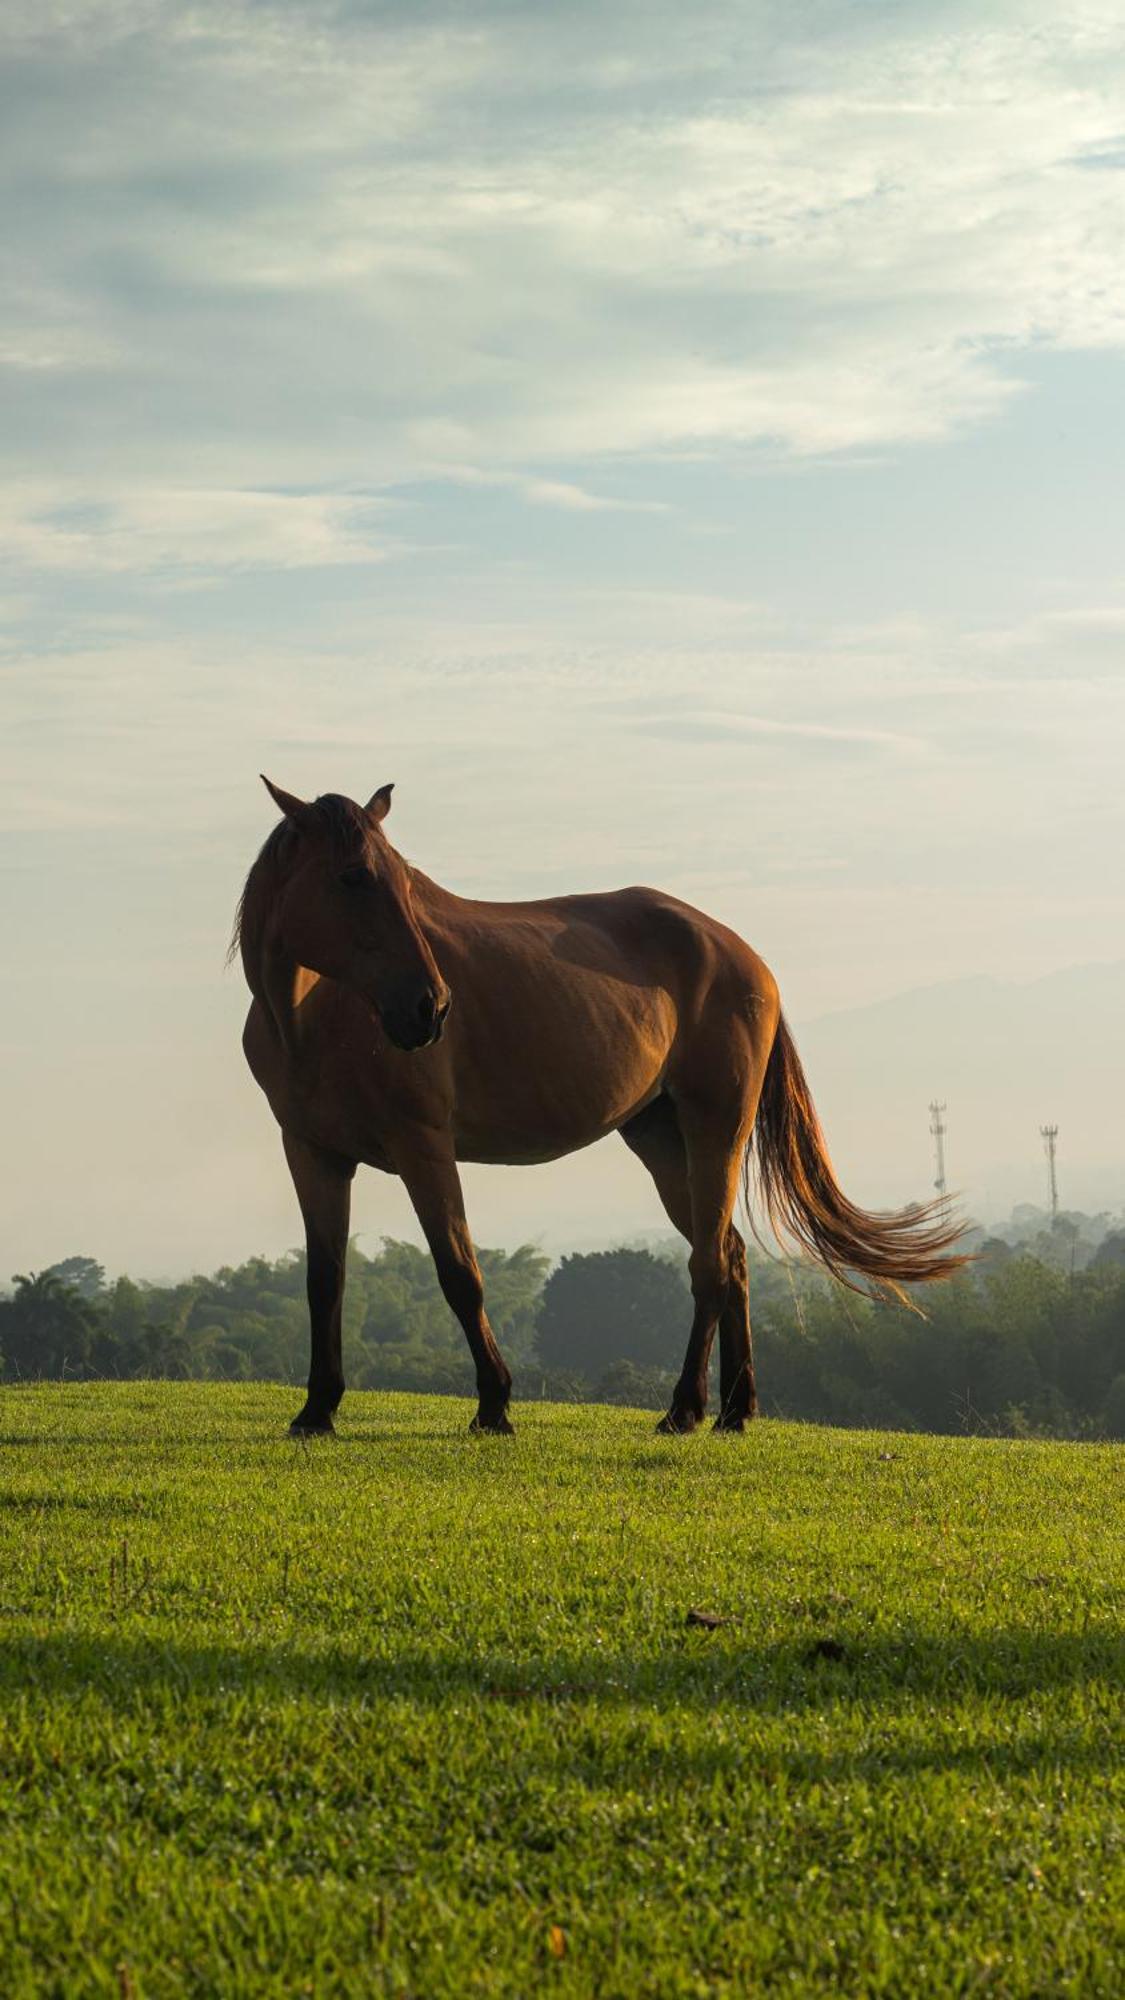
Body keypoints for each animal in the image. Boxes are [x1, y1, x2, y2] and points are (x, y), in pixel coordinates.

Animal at [230, 776, 964, 1440]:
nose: (428, 1008)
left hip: (715, 1126)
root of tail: (743, 956)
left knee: (708, 1264)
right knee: (727, 1254)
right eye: (354, 876)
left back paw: (683, 1409)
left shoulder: (424, 1146)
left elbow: (459, 1273)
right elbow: (324, 1281)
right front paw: (317, 1409)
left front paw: (494, 1405)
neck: (315, 1015)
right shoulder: (313, 1154)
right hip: (659, 1139)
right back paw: (733, 1409)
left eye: (407, 885)